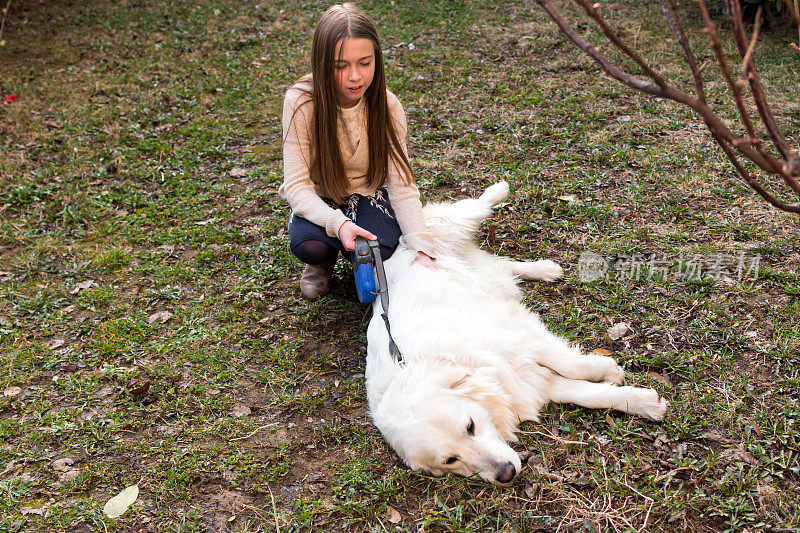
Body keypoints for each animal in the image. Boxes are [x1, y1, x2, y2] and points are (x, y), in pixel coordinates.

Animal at [366, 181, 664, 484]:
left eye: (470, 426)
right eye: (450, 460)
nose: (506, 473)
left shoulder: (520, 337)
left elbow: (573, 366)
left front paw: (608, 370)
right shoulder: (523, 379)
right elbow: (588, 395)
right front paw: (645, 402)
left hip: (448, 224)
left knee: (477, 209)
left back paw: (500, 191)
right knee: (500, 265)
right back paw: (545, 269)